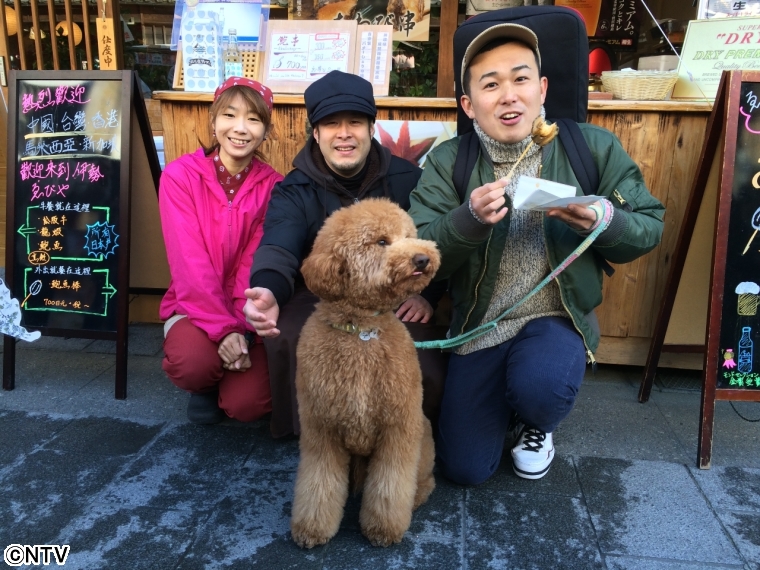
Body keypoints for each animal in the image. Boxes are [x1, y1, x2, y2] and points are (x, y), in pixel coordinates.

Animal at [290, 198, 440, 548]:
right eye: (382, 241)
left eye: (409, 235)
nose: (423, 258)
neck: (359, 332)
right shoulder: (321, 430)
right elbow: (318, 484)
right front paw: (311, 529)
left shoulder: (398, 428)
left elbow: (390, 486)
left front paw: (384, 529)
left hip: (423, 438)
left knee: (425, 480)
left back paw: (416, 497)